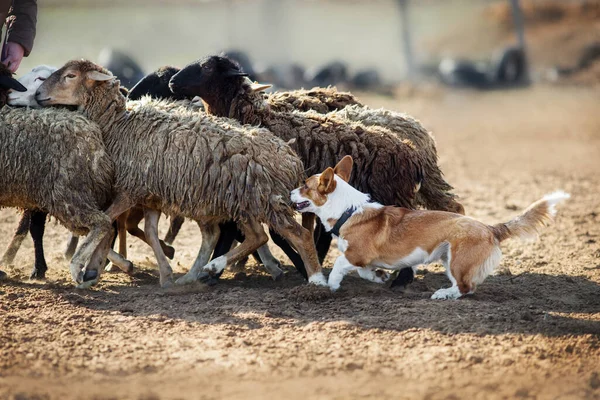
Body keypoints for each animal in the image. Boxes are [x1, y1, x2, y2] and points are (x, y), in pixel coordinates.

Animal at [37, 60, 326, 288]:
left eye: (70, 75)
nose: (38, 93)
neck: (119, 125)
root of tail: (291, 157)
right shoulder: (151, 193)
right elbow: (146, 231)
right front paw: (162, 271)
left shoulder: (130, 189)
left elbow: (106, 221)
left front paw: (82, 268)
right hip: (239, 201)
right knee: (254, 236)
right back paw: (201, 272)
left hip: (262, 200)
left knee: (297, 235)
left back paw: (315, 281)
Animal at [290, 156, 568, 300]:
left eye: (304, 185)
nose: (289, 192)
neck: (348, 210)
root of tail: (491, 228)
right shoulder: (361, 260)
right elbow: (364, 272)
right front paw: (379, 278)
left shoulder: (356, 254)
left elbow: (339, 265)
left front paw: (331, 286)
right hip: (448, 258)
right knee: (467, 286)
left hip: (456, 261)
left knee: (465, 287)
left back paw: (443, 294)